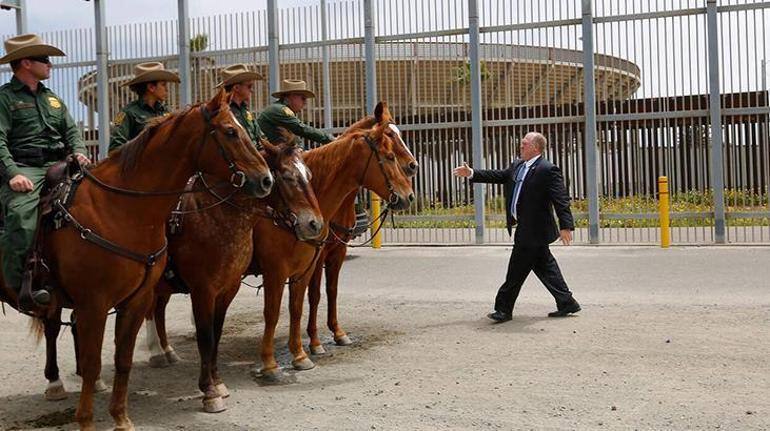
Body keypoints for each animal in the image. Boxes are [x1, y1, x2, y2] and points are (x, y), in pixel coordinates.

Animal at [0, 88, 272, 431]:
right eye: (230, 131)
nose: (266, 180)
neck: (119, 209)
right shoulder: (96, 304)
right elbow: (93, 362)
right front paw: (86, 420)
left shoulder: (135, 301)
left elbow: (123, 359)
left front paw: (120, 417)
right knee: (54, 329)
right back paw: (56, 383)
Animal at [304, 121, 416, 354]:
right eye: (389, 136)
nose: (413, 166)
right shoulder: (317, 256)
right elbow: (314, 294)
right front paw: (315, 341)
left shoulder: (338, 251)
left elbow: (332, 290)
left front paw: (338, 332)